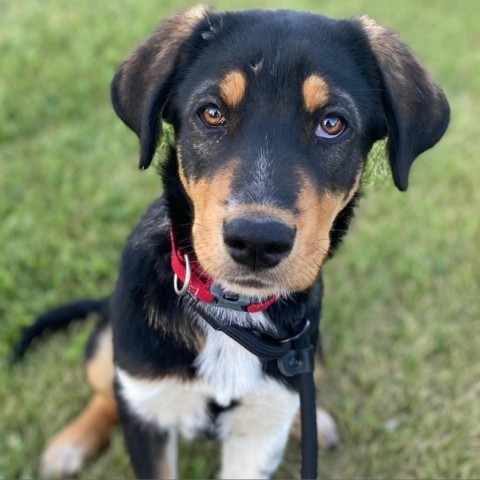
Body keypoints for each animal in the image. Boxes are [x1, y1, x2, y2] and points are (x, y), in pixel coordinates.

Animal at [15, 4, 450, 480]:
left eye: (332, 124)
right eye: (211, 113)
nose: (257, 241)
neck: (231, 316)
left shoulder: (260, 429)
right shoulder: (149, 414)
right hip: (108, 346)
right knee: (105, 393)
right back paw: (71, 443)